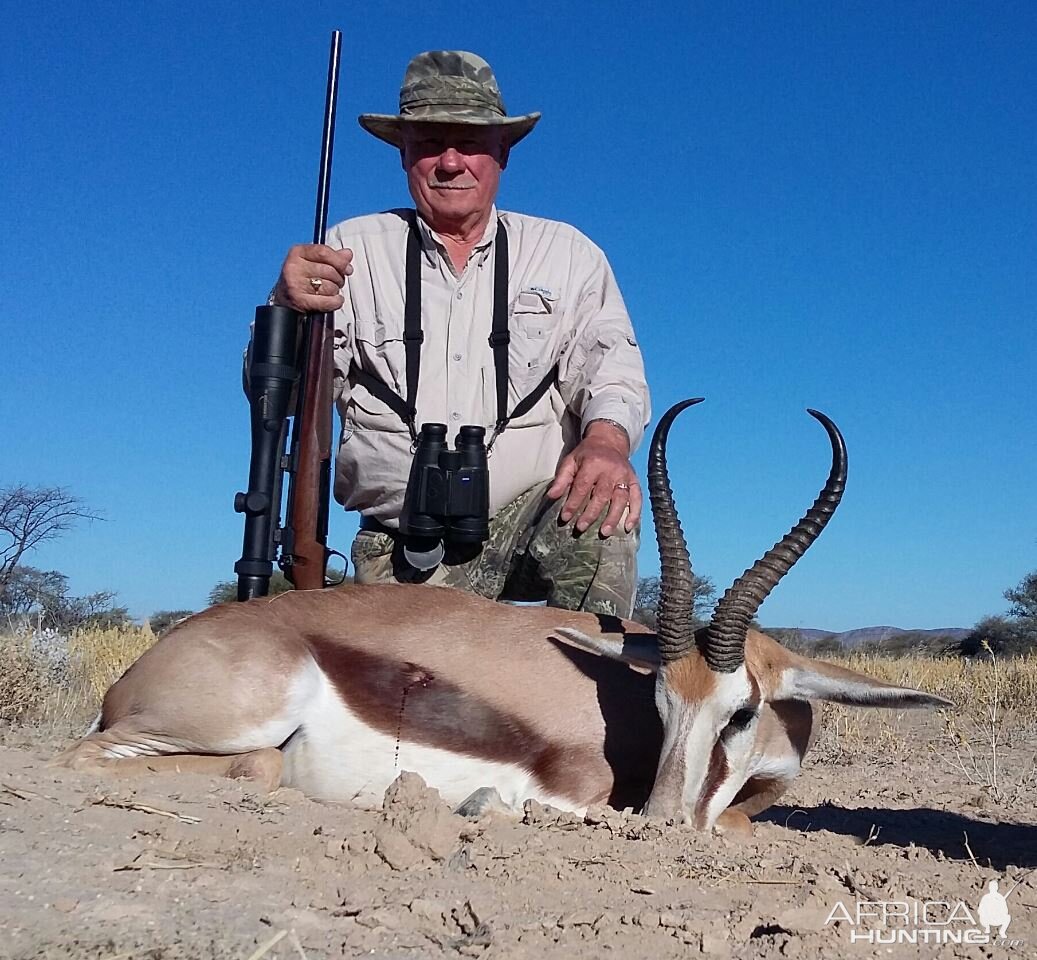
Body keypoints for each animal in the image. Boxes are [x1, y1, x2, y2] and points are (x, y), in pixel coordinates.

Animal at [54, 398, 949, 833]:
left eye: (740, 712)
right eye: (658, 703)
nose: (662, 822)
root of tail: (142, 669)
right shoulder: (583, 786)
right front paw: (488, 806)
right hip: (228, 722)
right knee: (118, 761)